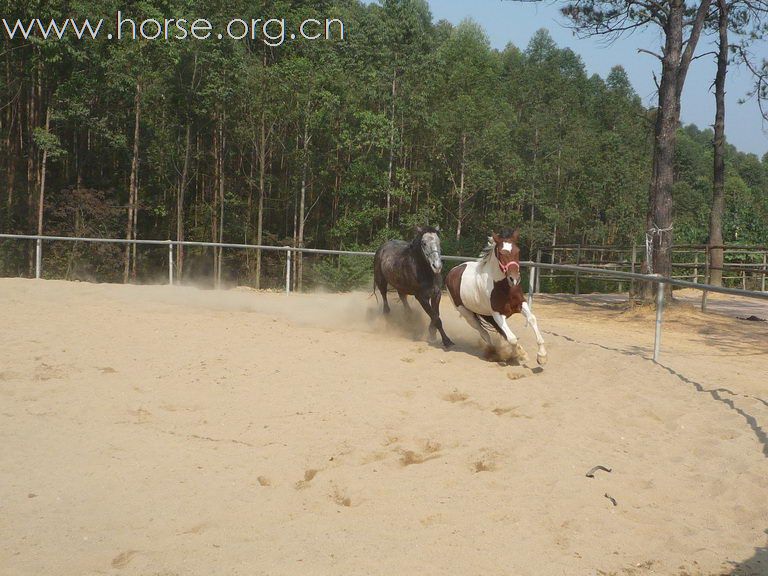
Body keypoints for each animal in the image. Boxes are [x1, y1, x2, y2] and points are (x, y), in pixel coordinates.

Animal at [444, 228, 544, 364]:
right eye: (501, 253)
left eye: (517, 251)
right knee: (484, 333)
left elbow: (531, 319)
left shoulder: (521, 303)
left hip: (486, 315)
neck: (503, 287)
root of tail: (452, 271)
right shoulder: (497, 314)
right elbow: (512, 338)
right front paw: (521, 354)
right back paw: (493, 353)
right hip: (467, 313)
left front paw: (541, 356)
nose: (514, 279)